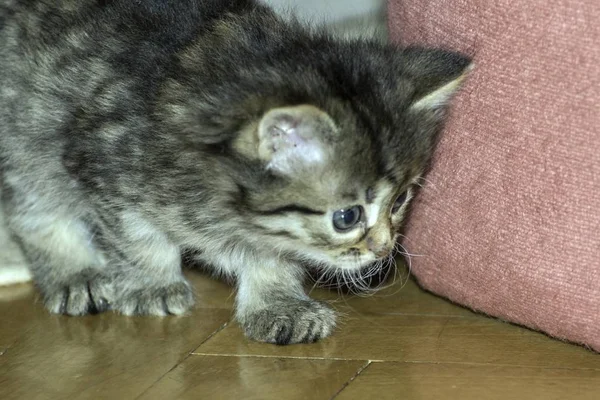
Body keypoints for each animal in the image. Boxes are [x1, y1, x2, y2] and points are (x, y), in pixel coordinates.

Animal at [0, 0, 468, 344]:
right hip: (26, 138)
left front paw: (278, 304)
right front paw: (151, 285)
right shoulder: (105, 163)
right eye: (347, 217)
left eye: (402, 199)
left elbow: (272, 255)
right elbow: (137, 239)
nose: (384, 250)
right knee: (34, 209)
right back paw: (76, 274)